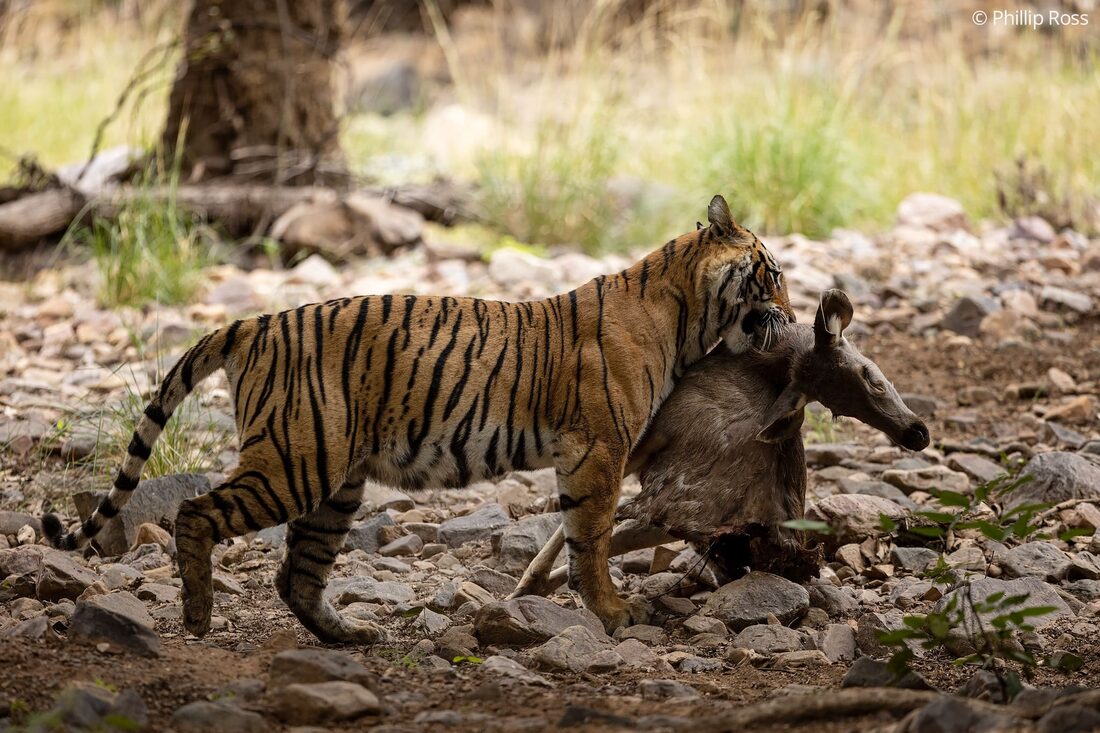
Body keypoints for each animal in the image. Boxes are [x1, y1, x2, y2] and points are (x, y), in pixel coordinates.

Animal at [43, 194, 794, 641]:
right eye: (774, 272)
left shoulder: (610, 450)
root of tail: (254, 322)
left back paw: (348, 635)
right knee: (195, 513)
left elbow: (581, 534)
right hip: (294, 462)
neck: (687, 313)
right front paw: (613, 612)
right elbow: (592, 539)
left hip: (333, 478)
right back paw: (198, 617)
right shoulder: (597, 449)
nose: (793, 310)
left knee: (298, 572)